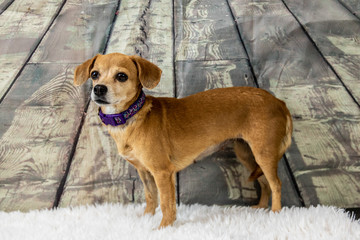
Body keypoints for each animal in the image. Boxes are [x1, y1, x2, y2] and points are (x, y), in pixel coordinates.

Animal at [73, 53, 292, 229]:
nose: (98, 89)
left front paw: (163, 228)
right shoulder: (144, 172)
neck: (131, 118)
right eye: (94, 74)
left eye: (121, 76)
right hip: (247, 154)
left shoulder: (162, 172)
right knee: (264, 183)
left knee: (276, 184)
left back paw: (275, 214)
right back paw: (260, 209)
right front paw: (146, 218)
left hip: (264, 154)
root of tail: (279, 102)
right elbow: (151, 197)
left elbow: (166, 203)